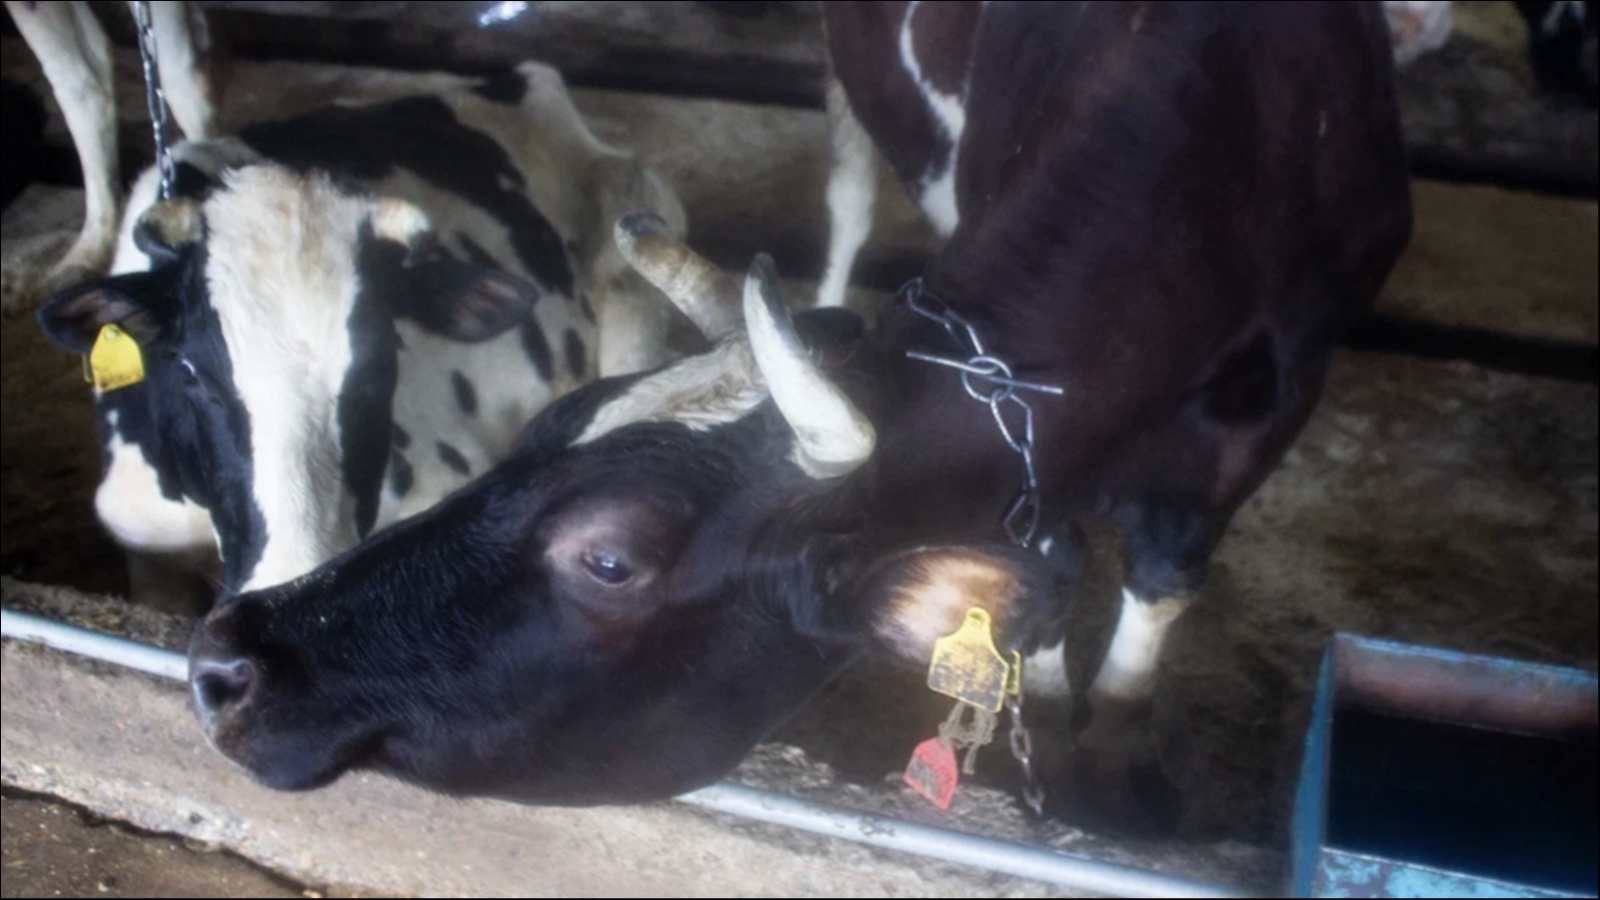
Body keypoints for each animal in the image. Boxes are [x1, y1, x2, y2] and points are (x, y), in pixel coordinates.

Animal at [184, 1, 1411, 817]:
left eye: (613, 559)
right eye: (539, 434)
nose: (222, 658)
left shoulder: (1256, 423)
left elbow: (1152, 598)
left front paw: (1117, 767)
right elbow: (1047, 585)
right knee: (852, 197)